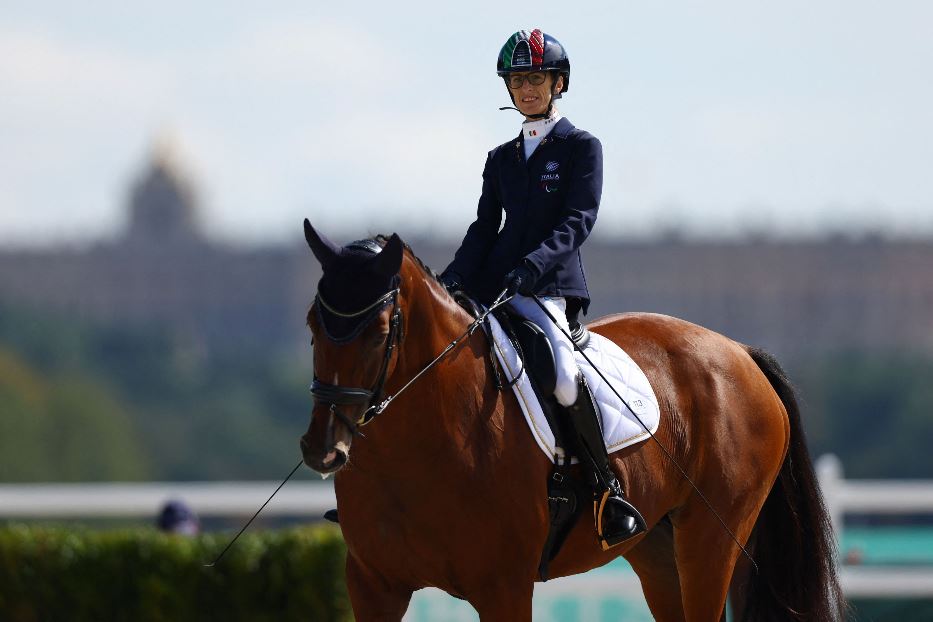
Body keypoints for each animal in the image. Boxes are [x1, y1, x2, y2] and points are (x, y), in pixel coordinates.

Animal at [298, 223, 844, 622]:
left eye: (380, 331)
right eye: (311, 324)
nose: (322, 449)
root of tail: (741, 352)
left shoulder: (503, 587)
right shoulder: (373, 585)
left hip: (712, 539)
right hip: (659, 549)